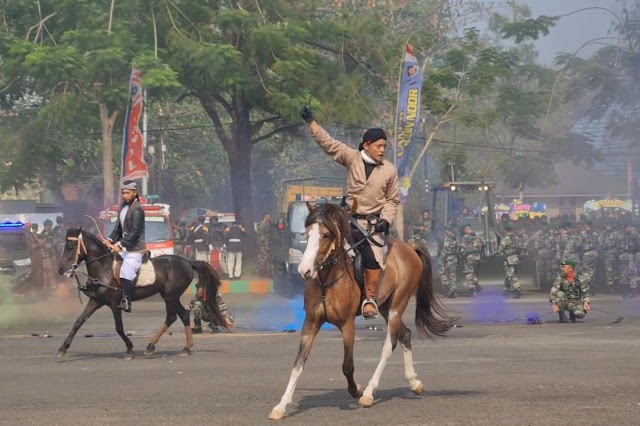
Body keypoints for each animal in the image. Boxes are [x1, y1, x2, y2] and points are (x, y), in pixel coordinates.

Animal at [57, 228, 226, 358]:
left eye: (71, 246)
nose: (61, 269)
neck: (104, 269)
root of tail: (188, 262)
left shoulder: (114, 304)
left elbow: (119, 328)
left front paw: (129, 349)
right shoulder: (95, 301)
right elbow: (79, 322)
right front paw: (63, 347)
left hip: (170, 296)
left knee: (180, 315)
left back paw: (182, 347)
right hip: (168, 296)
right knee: (175, 316)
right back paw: (154, 346)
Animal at [268, 203, 456, 420]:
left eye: (326, 235)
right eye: (307, 234)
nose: (304, 270)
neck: (328, 279)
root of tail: (409, 247)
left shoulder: (347, 325)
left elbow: (347, 365)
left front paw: (356, 389)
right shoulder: (311, 323)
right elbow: (298, 364)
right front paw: (281, 406)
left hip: (397, 304)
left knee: (389, 345)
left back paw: (368, 392)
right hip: (384, 306)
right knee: (405, 334)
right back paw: (414, 383)